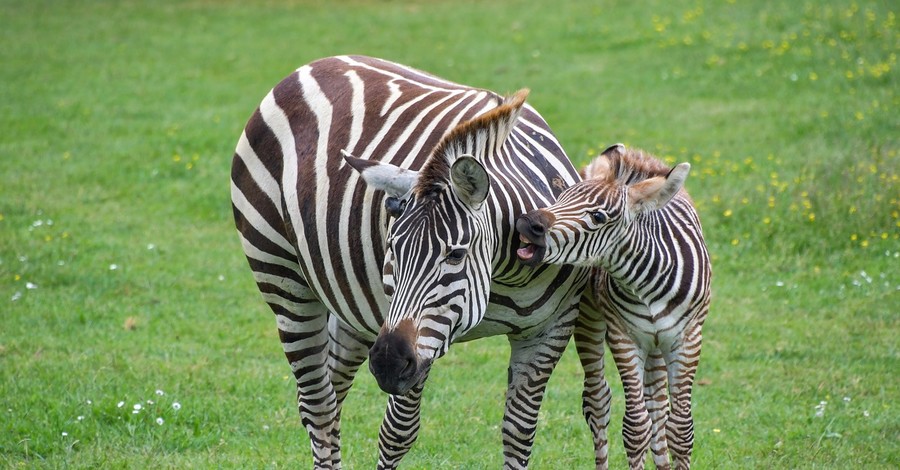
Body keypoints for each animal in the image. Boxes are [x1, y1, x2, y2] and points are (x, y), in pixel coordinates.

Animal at [230, 57, 612, 468]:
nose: (386, 363)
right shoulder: (411, 342)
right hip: (283, 277)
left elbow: (519, 432)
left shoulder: (550, 328)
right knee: (318, 405)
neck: (509, 274)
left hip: (354, 306)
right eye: (393, 251)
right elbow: (397, 434)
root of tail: (313, 65)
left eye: (456, 253)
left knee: (331, 393)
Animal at [516, 144, 712, 470]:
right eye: (561, 197)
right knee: (598, 401)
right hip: (589, 318)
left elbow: (680, 428)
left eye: (598, 216)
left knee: (657, 405)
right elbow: (636, 426)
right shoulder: (624, 335)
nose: (526, 224)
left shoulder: (688, 337)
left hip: (657, 342)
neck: (648, 282)